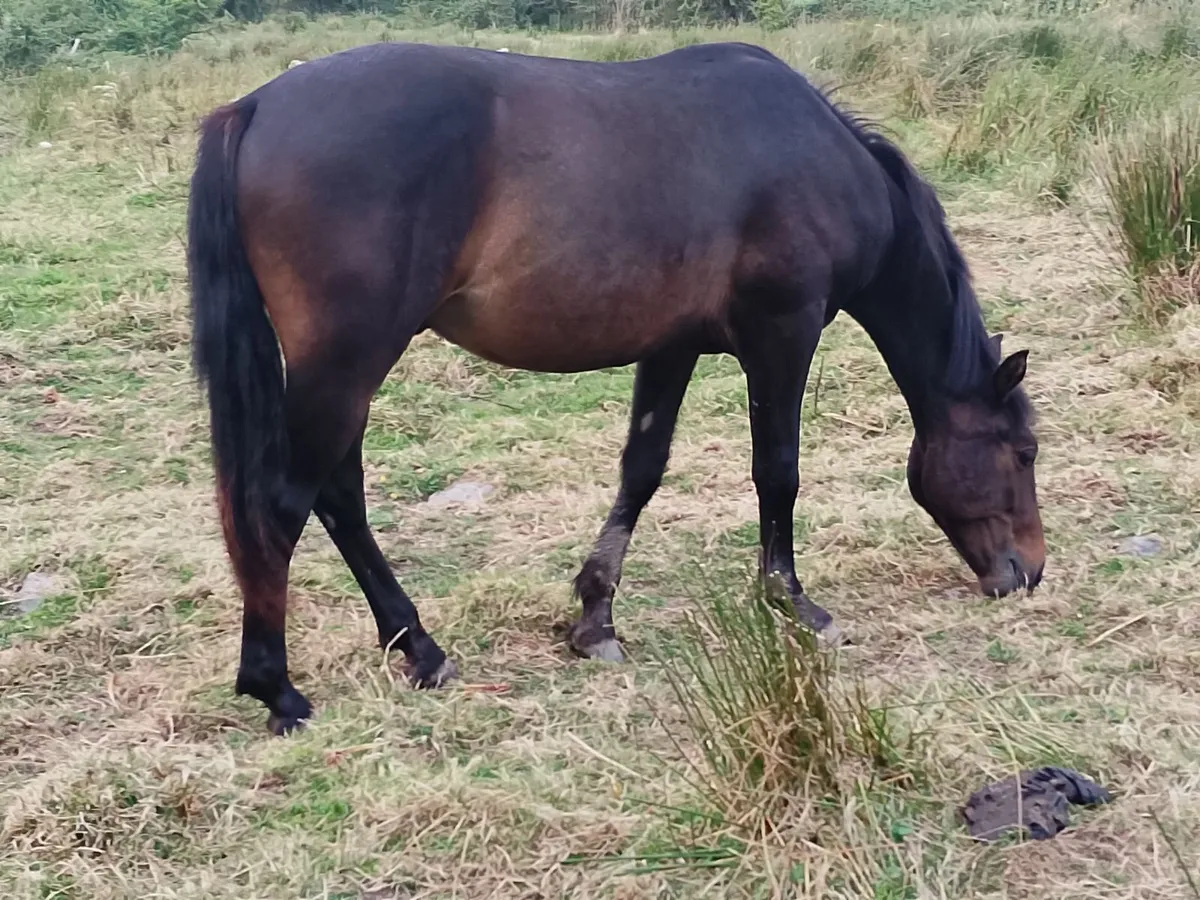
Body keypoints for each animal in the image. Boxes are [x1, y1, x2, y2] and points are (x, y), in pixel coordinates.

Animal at [187, 40, 1045, 734]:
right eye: (1023, 452)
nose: (1028, 573)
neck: (820, 158)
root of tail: (254, 106)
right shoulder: (783, 333)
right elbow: (778, 471)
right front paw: (792, 602)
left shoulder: (671, 347)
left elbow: (643, 469)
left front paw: (595, 617)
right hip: (348, 361)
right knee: (287, 505)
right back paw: (278, 689)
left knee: (337, 497)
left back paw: (421, 650)